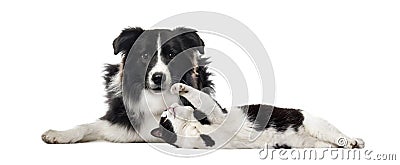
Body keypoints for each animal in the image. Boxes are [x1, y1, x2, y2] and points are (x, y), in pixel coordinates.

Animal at [42, 27, 214, 143]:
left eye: (172, 54)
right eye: (144, 55)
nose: (158, 78)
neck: (155, 98)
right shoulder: (118, 122)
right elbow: (86, 126)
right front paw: (59, 134)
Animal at [151, 83, 366, 149]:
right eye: (165, 121)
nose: (170, 108)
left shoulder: (217, 114)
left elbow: (200, 98)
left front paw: (179, 87)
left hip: (319, 126)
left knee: (340, 136)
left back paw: (355, 141)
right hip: (312, 143)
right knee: (331, 144)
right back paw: (350, 145)